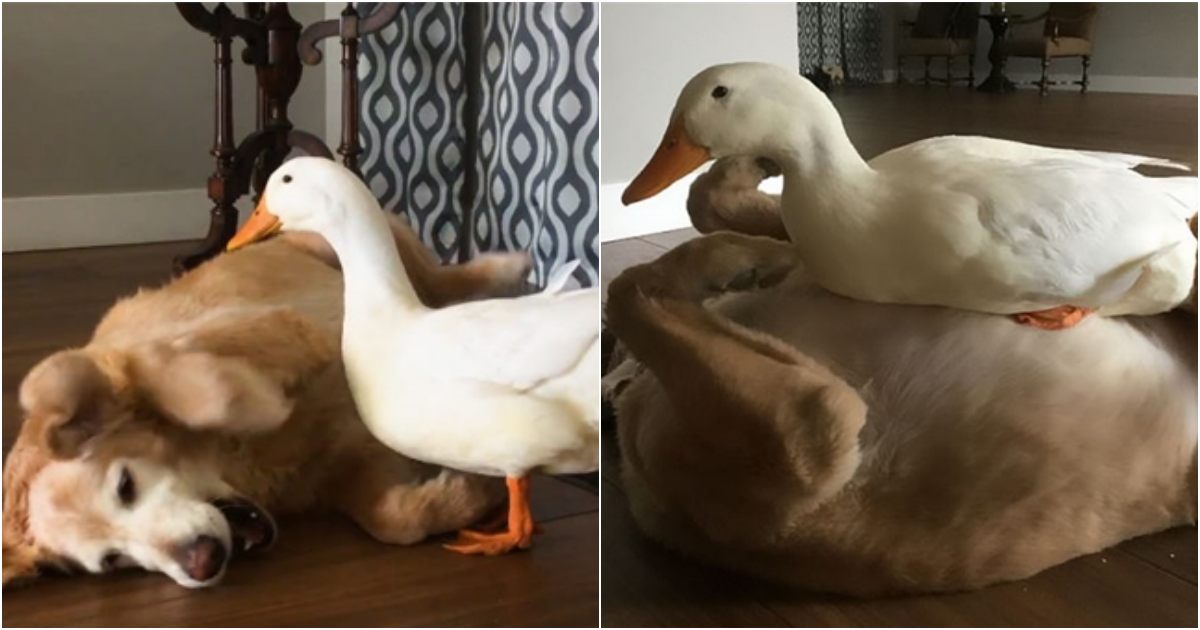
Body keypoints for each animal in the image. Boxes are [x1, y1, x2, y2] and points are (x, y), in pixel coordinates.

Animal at [3, 217, 530, 590]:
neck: (243, 462)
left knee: (439, 279)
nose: (201, 563)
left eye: (125, 486)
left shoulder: (281, 328)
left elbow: (193, 385)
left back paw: (506, 267)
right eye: (114, 560)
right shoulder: (346, 466)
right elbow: (392, 520)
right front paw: (472, 494)